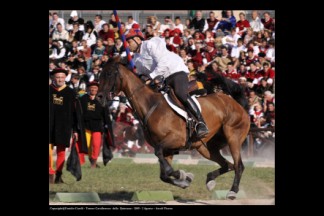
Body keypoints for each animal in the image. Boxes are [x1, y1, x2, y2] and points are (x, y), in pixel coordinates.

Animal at [97, 58, 249, 199]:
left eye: (109, 74)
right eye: (100, 74)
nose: (99, 97)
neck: (150, 105)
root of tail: (236, 104)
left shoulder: (174, 140)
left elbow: (164, 163)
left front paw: (182, 175)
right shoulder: (168, 149)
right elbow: (164, 175)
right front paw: (185, 179)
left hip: (233, 138)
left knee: (238, 165)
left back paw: (232, 191)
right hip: (206, 147)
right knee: (228, 164)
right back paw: (210, 180)